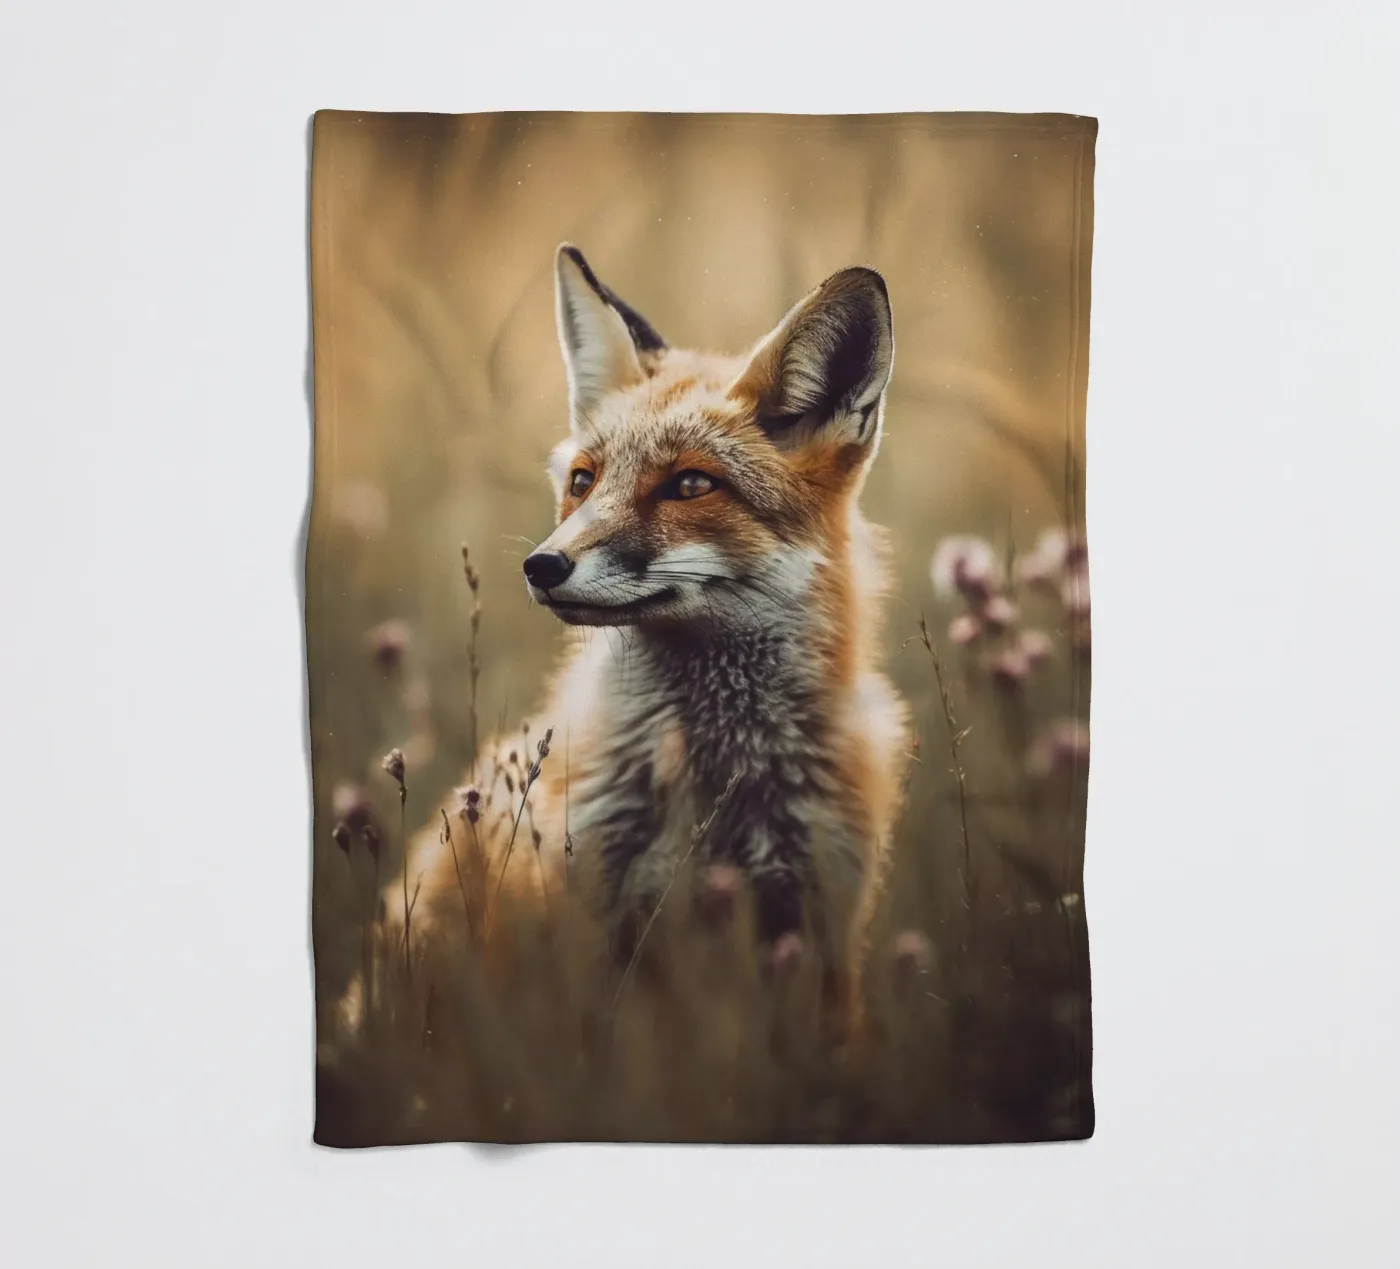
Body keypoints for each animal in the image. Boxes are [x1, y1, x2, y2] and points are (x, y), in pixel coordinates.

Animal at [376, 244, 910, 1011]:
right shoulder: (591, 923)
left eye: (690, 485)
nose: (541, 565)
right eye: (583, 480)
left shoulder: (821, 925)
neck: (719, 786)